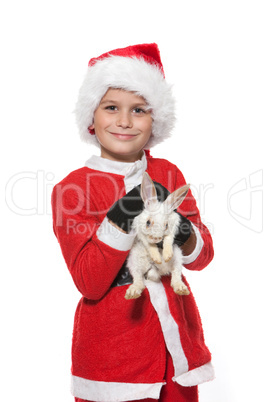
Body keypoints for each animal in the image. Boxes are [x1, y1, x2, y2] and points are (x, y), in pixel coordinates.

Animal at [125, 171, 191, 300]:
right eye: (148, 222)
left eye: (166, 225)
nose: (156, 238)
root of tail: (156, 272)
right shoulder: (140, 232)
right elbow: (149, 245)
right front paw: (157, 258)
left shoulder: (172, 229)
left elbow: (168, 240)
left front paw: (166, 256)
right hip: (134, 261)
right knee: (138, 279)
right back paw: (133, 292)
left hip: (178, 258)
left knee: (176, 274)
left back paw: (181, 289)